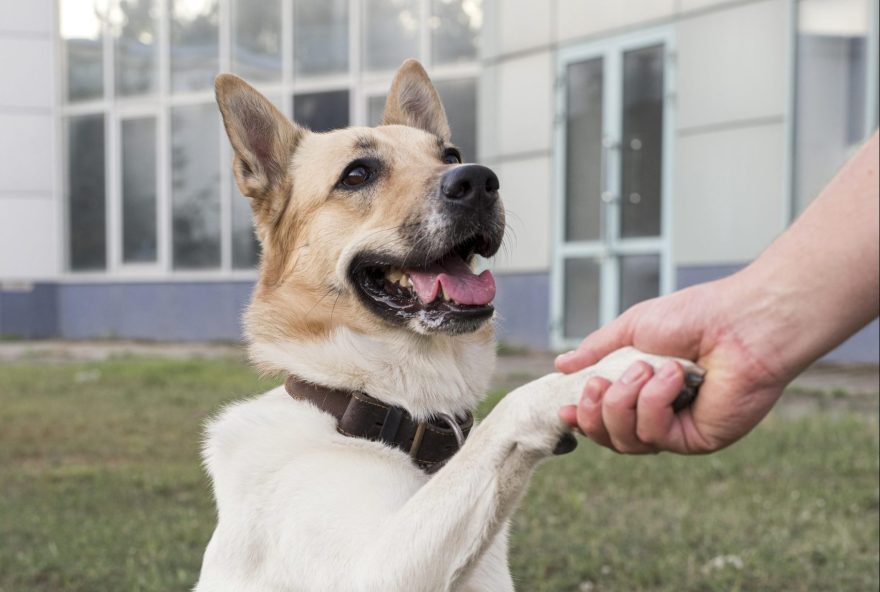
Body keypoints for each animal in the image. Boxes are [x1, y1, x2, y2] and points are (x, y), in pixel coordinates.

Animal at [198, 59, 700, 592]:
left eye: (451, 155)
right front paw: (616, 365)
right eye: (357, 174)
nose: (480, 180)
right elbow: (506, 412)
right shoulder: (376, 570)